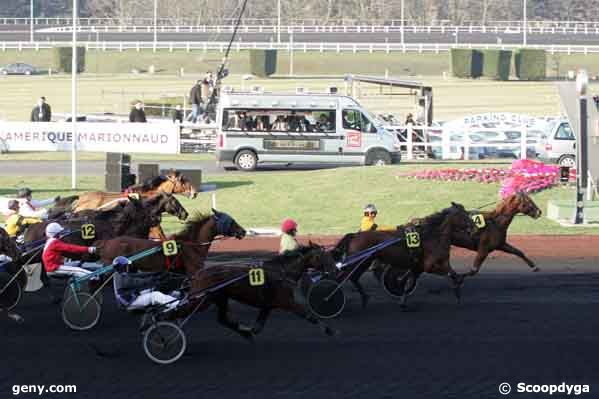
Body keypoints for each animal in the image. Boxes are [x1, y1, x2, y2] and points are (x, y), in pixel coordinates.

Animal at [183, 244, 340, 340]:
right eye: (324, 257)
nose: (336, 270)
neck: (282, 272)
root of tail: (199, 273)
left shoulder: (267, 306)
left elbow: (257, 328)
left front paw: (248, 332)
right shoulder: (288, 303)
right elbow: (310, 316)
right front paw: (330, 330)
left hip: (220, 298)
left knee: (222, 319)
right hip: (203, 300)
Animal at [330, 203, 476, 310]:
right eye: (464, 215)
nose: (474, 227)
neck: (433, 236)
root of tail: (355, 235)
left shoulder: (421, 267)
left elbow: (409, 282)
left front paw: (402, 301)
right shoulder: (429, 266)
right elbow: (452, 275)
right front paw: (458, 289)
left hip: (364, 262)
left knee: (353, 278)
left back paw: (365, 298)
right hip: (359, 261)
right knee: (342, 278)